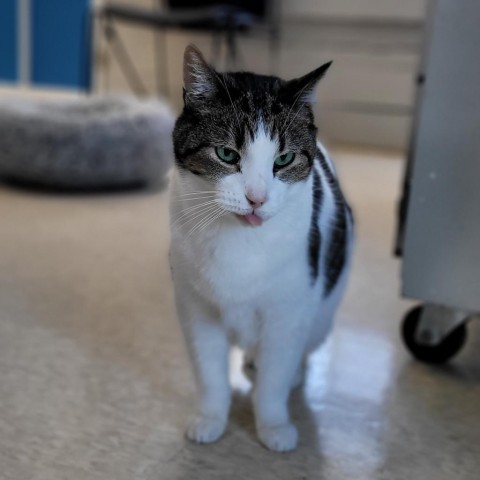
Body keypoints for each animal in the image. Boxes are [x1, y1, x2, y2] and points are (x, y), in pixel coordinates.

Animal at [169, 43, 352, 452]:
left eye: (284, 159)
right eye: (226, 154)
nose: (256, 198)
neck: (239, 244)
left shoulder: (288, 311)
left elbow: (273, 379)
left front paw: (273, 425)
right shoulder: (195, 308)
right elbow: (209, 373)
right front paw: (210, 418)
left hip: (322, 312)